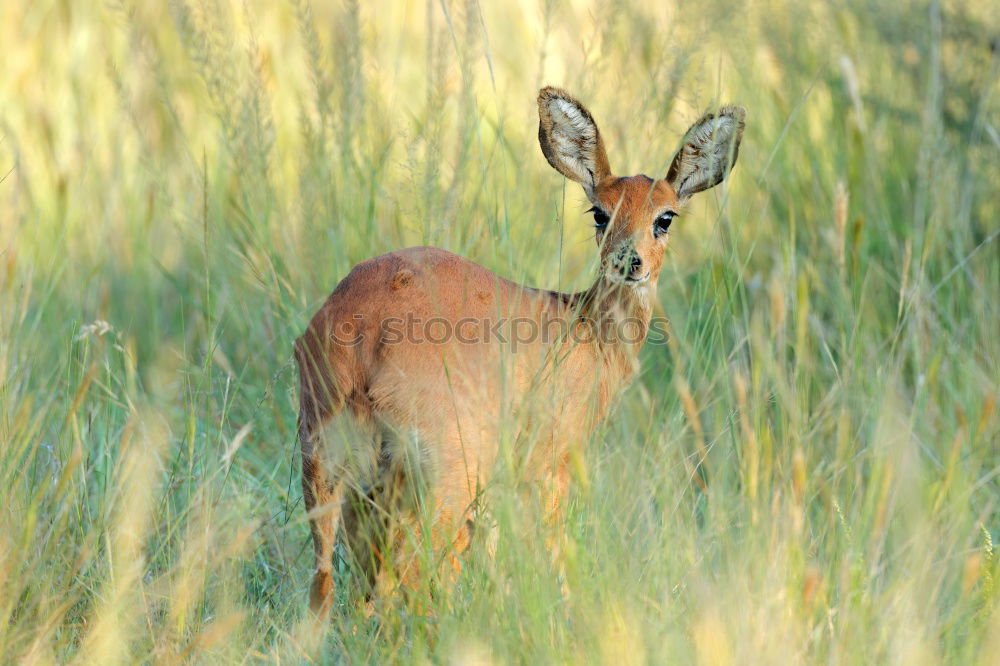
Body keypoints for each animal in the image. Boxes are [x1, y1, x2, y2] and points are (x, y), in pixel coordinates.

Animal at [292, 87, 748, 612]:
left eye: (664, 217)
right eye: (600, 211)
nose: (628, 261)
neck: (586, 331)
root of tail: (360, 341)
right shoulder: (551, 465)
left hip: (328, 467)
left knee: (329, 581)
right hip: (444, 473)